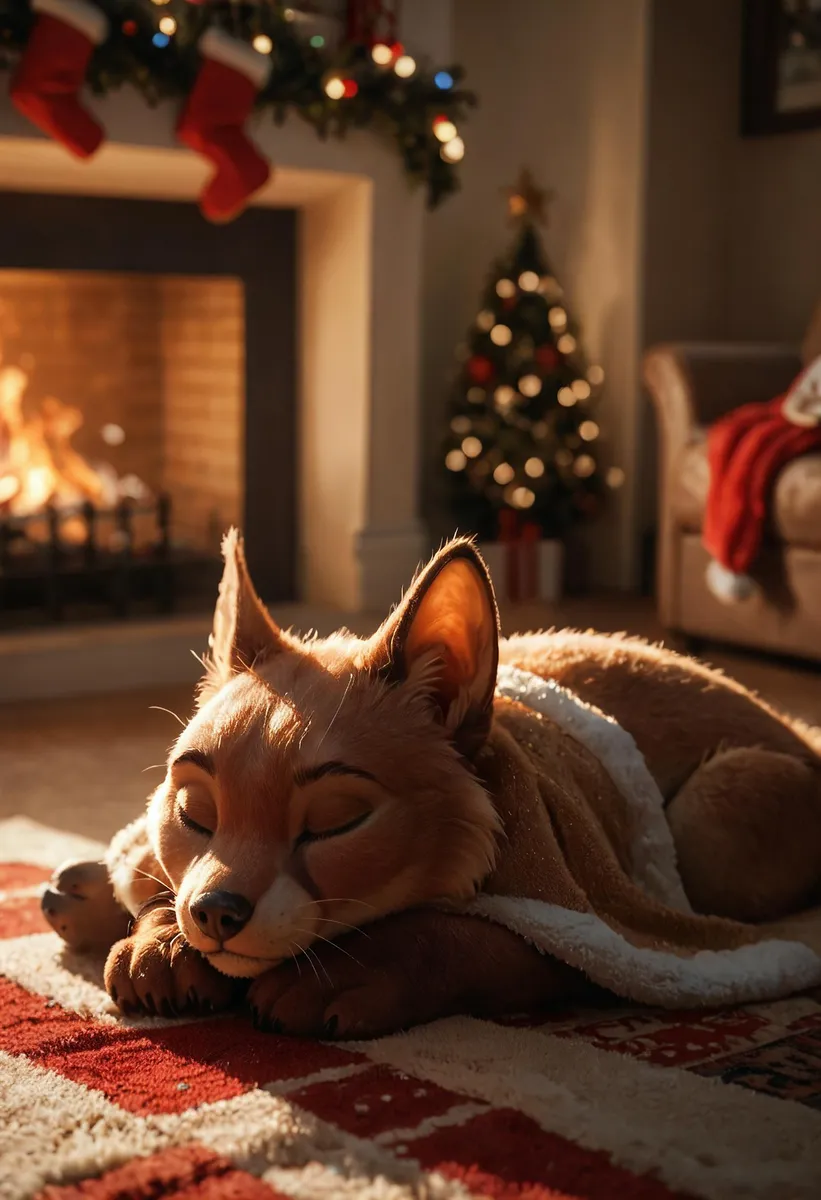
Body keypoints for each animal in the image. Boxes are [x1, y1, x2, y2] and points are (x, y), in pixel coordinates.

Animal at [43, 530, 820, 1036]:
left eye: (334, 821)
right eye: (194, 812)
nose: (215, 912)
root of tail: (792, 727)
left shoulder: (599, 930)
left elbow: (464, 935)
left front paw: (342, 972)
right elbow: (159, 875)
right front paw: (161, 939)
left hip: (714, 808)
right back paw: (82, 890)